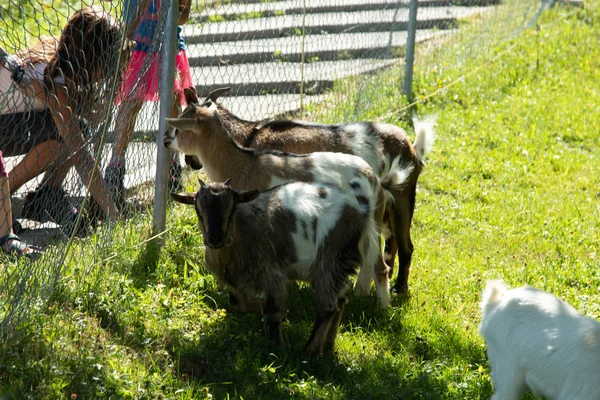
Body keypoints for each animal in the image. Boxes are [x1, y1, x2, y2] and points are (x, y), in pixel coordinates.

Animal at [166, 90, 414, 308]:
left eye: (180, 128)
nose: (167, 140)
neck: (244, 163)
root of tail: (374, 179)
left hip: (370, 224)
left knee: (380, 265)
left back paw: (382, 309)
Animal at [171, 180, 372, 354]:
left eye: (232, 207)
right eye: (198, 208)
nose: (215, 238)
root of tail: (360, 210)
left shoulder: (271, 272)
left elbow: (272, 312)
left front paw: (278, 348)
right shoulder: (236, 282)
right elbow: (238, 304)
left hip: (330, 257)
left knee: (327, 307)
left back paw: (310, 351)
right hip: (331, 266)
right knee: (340, 301)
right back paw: (328, 345)